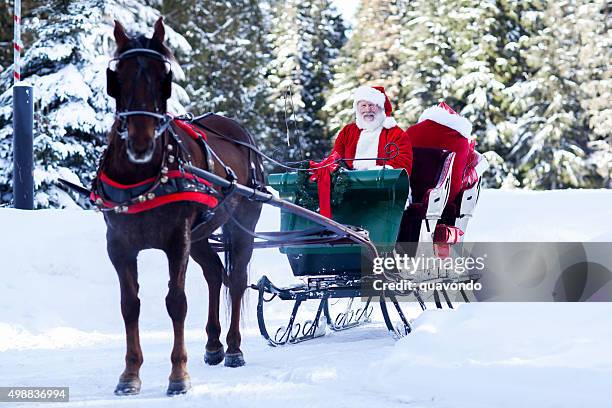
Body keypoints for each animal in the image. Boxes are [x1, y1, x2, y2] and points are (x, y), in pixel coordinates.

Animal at [97, 18, 264, 396]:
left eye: (165, 76)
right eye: (117, 76)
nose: (141, 141)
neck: (142, 178)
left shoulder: (177, 241)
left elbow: (176, 302)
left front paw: (178, 375)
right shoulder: (119, 245)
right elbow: (129, 305)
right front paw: (129, 375)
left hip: (241, 224)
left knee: (236, 279)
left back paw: (234, 348)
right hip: (200, 234)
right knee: (215, 273)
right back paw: (214, 345)